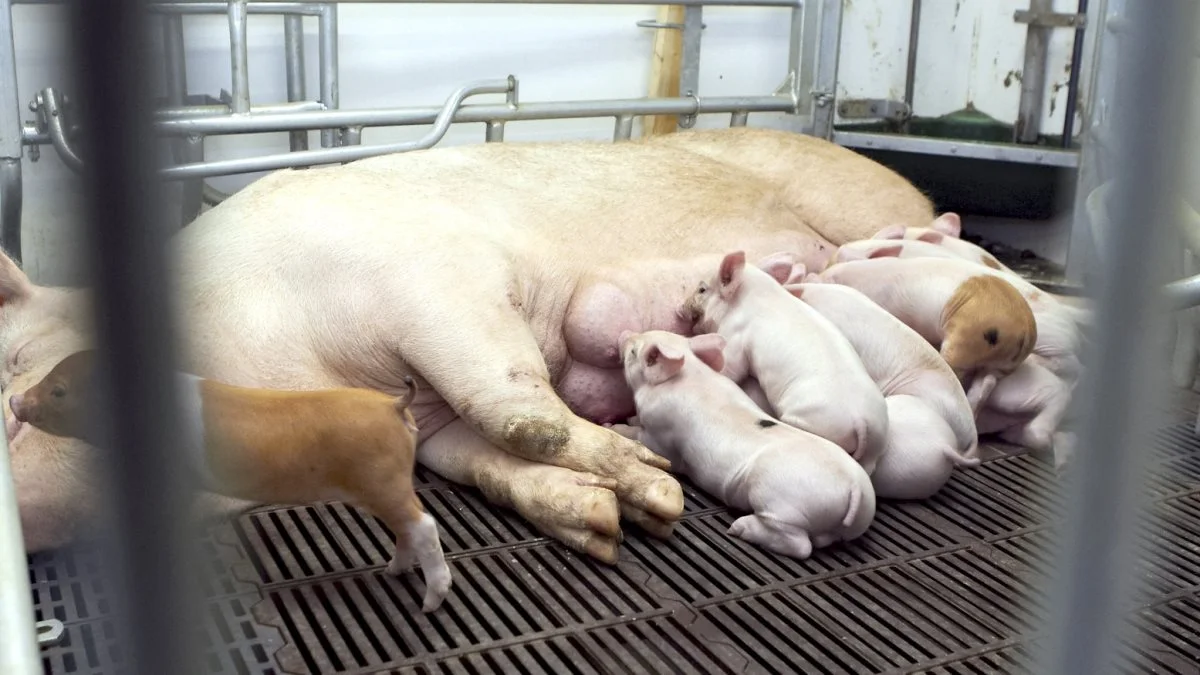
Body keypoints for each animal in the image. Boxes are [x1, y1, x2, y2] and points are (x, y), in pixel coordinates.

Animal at [614, 326, 878, 557]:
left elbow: (642, 438)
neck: (688, 375)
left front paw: (614, 426)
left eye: (634, 352)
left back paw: (738, 528)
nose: (624, 334)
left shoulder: (662, 436)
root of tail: (853, 487)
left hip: (781, 503)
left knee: (801, 546)